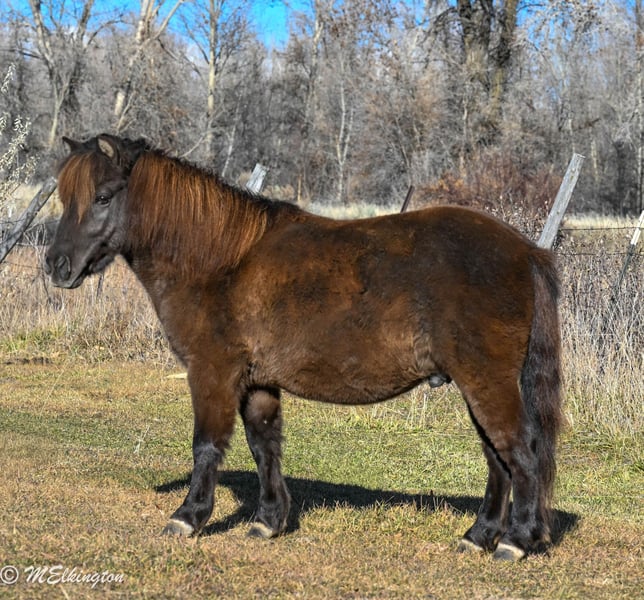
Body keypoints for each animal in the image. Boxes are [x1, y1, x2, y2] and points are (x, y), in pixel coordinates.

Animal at [45, 134, 562, 561]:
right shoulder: (257, 382)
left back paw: (516, 541)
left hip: (487, 382)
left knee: (521, 451)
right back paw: (479, 536)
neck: (222, 259)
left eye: (103, 196)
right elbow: (263, 445)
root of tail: (525, 250)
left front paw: (188, 517)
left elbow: (207, 445)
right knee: (498, 459)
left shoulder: (211, 372)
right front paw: (268, 521)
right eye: (65, 197)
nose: (56, 265)